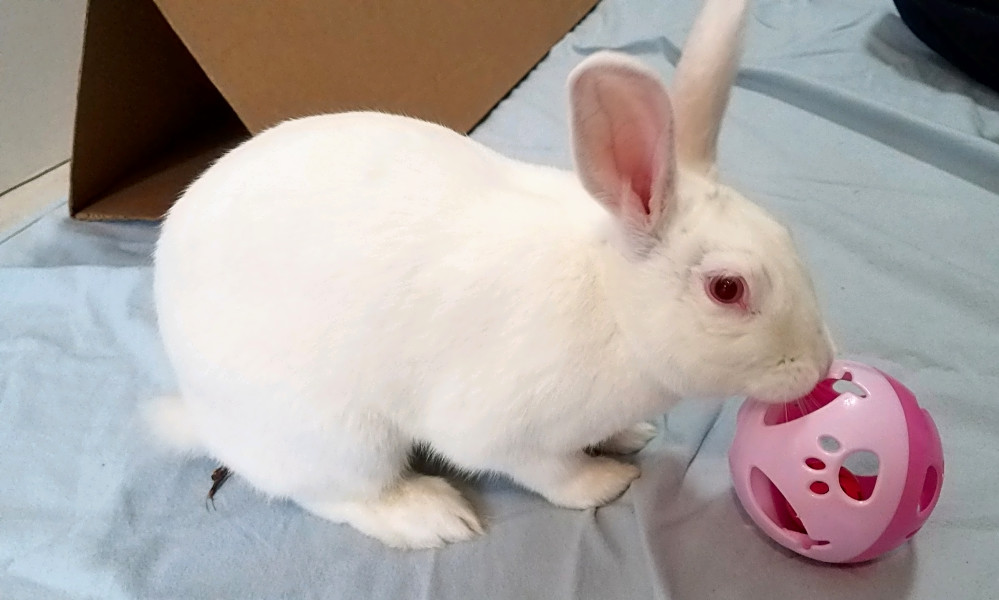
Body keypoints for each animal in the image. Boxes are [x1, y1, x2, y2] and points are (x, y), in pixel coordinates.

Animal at [149, 0, 834, 549]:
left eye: (787, 236)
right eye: (728, 289)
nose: (821, 366)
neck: (615, 304)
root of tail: (203, 418)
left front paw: (629, 435)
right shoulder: (501, 434)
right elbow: (550, 472)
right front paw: (607, 481)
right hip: (340, 438)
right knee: (331, 495)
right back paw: (433, 517)